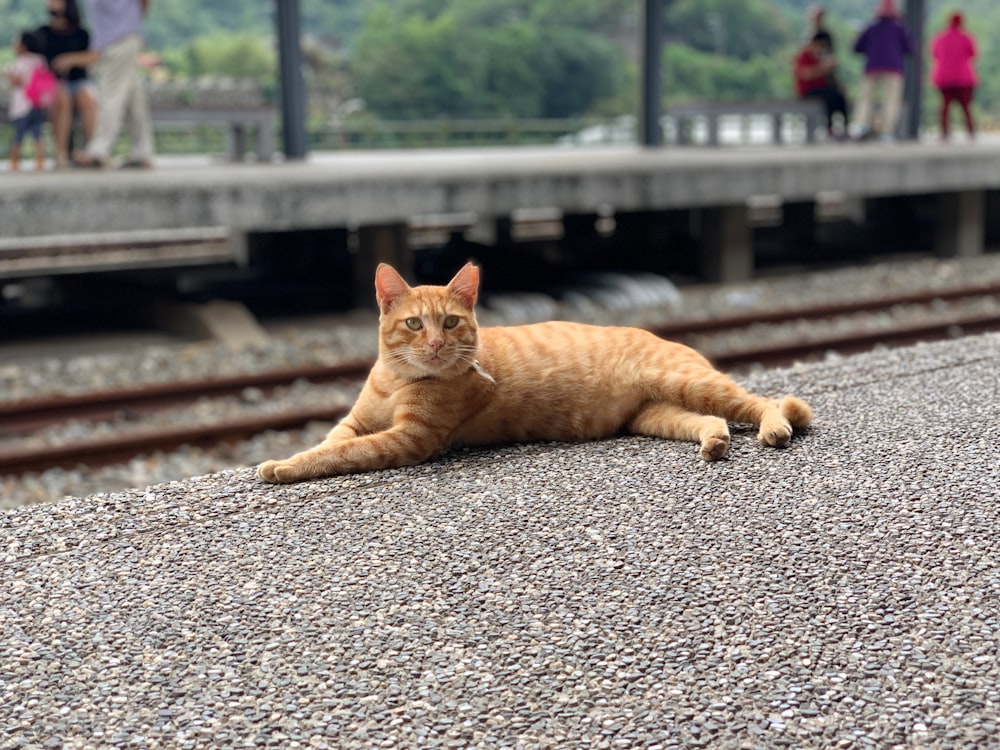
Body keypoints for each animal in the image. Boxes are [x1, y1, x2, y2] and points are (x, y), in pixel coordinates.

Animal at [258, 264, 812, 484]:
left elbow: (339, 455)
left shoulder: (408, 439)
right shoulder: (355, 421)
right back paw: (715, 441)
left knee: (764, 402)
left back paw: (775, 427)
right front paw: (289, 458)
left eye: (451, 322)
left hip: (691, 383)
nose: (436, 344)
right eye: (415, 324)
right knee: (710, 422)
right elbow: (329, 442)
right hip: (658, 415)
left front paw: (283, 467)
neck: (396, 379)